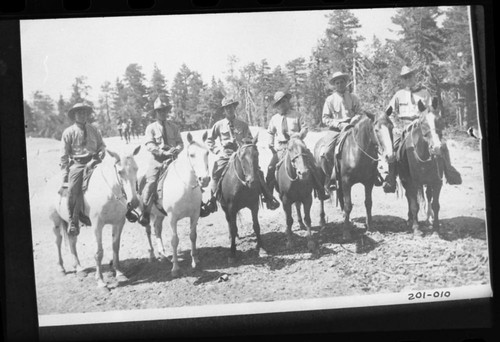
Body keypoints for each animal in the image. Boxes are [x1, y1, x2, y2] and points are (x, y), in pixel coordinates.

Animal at [49, 146, 142, 290]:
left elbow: (116, 247)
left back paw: (79, 269)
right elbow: (98, 252)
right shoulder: (97, 225)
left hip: (73, 223)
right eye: (120, 172)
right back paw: (61, 268)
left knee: (72, 241)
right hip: (56, 221)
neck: (109, 193)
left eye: (136, 168)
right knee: (58, 242)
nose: (134, 202)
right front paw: (101, 282)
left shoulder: (119, 222)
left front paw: (119, 273)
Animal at [139, 131, 211, 278]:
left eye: (207, 152)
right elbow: (174, 240)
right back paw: (152, 256)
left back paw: (163, 255)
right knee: (148, 231)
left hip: (159, 215)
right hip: (146, 213)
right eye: (192, 154)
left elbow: (193, 236)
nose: (205, 179)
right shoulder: (173, 218)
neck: (185, 187)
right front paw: (175, 268)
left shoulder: (195, 215)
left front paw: (195, 261)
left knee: (157, 229)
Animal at [218, 135, 266, 264]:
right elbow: (234, 228)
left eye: (257, 154)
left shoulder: (254, 205)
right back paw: (231, 237)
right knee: (229, 222)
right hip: (225, 208)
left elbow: (256, 226)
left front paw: (261, 248)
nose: (253, 181)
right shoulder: (231, 209)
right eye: (242, 156)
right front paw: (232, 253)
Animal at [314, 112, 396, 240]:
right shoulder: (347, 182)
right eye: (376, 129)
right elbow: (348, 206)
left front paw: (370, 227)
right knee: (322, 197)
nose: (390, 155)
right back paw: (322, 221)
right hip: (321, 178)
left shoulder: (368, 182)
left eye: (391, 127)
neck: (357, 151)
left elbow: (368, 203)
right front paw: (346, 232)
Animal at [394, 99, 446, 236]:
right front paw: (416, 228)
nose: (436, 148)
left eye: (439, 119)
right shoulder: (413, 182)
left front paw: (436, 229)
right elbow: (414, 205)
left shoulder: (437, 182)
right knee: (410, 198)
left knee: (427, 196)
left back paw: (428, 219)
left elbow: (435, 204)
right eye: (422, 122)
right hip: (406, 181)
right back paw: (410, 220)